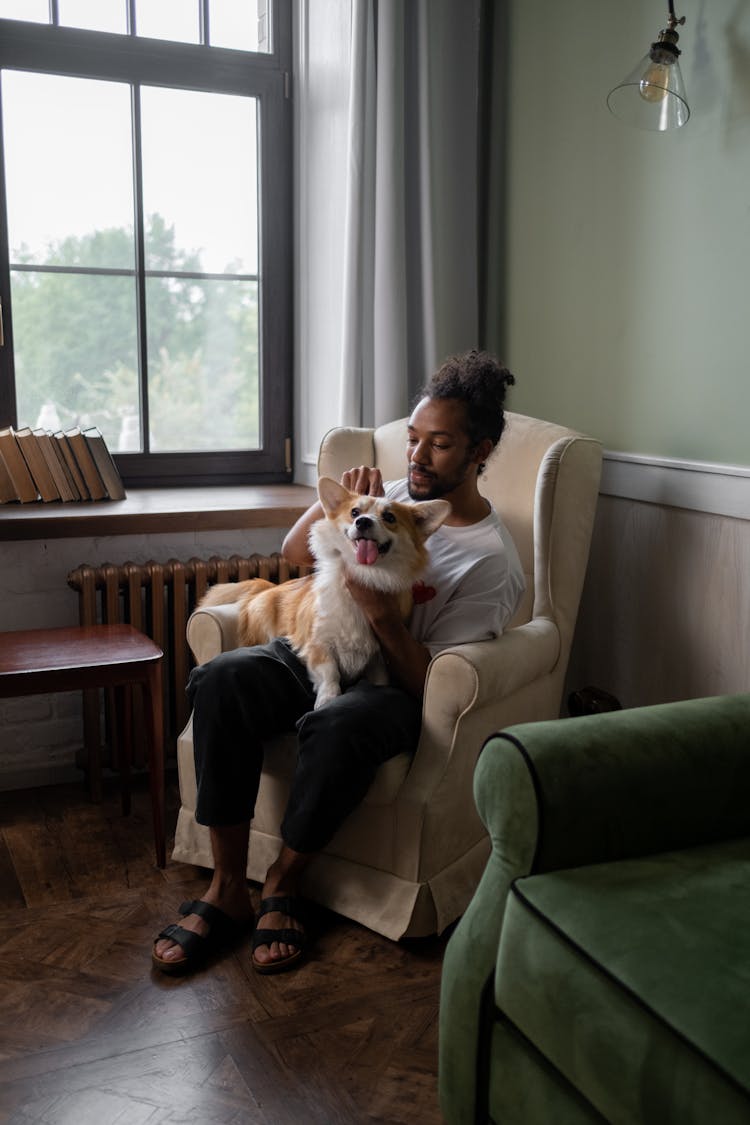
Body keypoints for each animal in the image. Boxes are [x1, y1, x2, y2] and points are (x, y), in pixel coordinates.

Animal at [197, 479, 452, 706]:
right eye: (354, 512)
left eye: (389, 518)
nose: (362, 522)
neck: (364, 575)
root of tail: (269, 586)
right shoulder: (319, 643)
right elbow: (330, 673)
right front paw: (327, 698)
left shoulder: (378, 658)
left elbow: (379, 680)